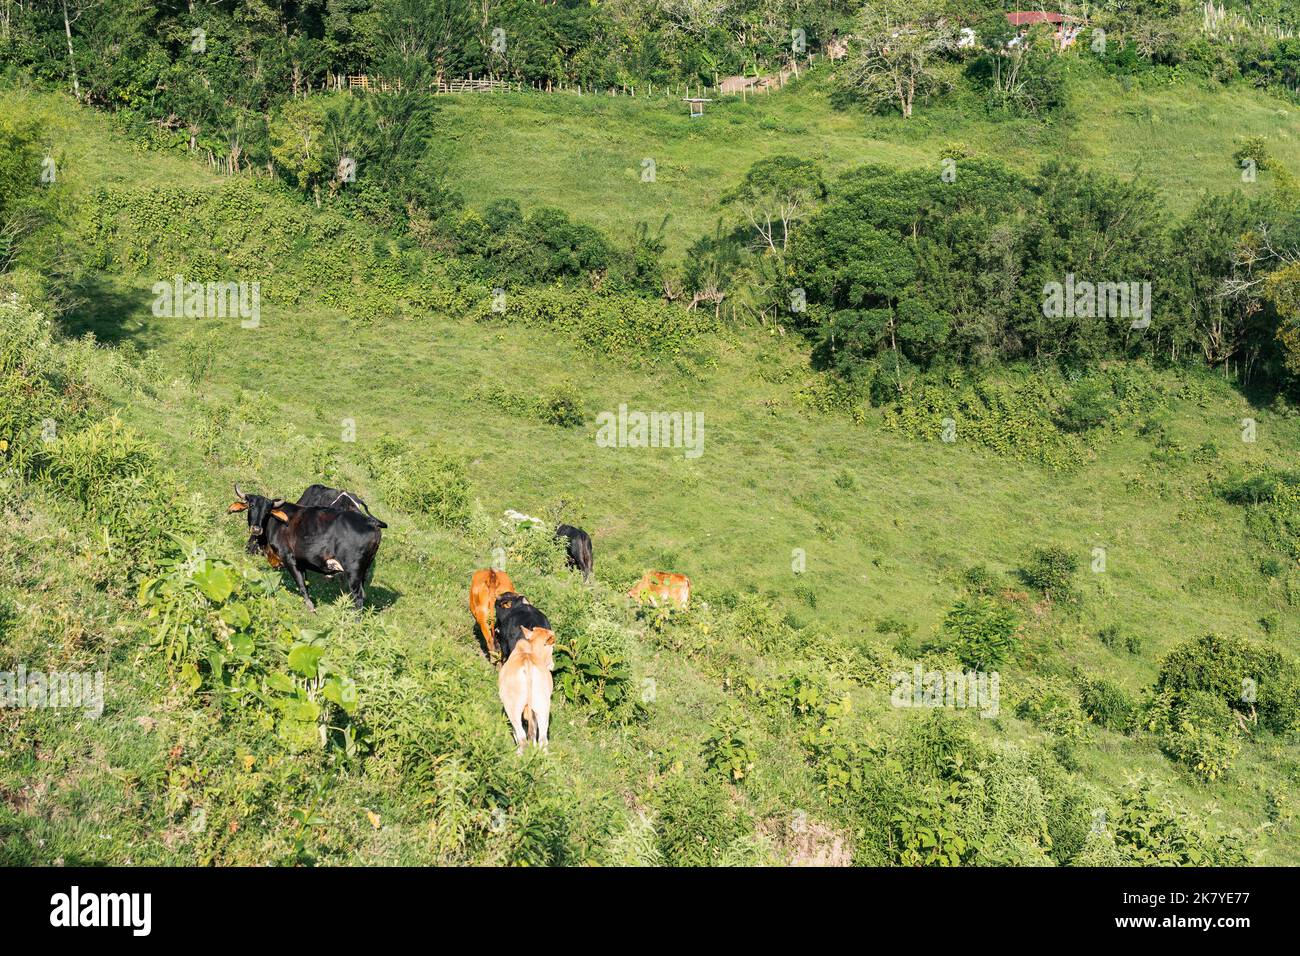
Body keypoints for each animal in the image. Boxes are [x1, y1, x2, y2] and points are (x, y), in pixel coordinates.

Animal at [227, 486, 379, 613]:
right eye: (251, 506)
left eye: (267, 511)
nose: (256, 529)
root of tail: (372, 523)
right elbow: (303, 582)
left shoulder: (289, 558)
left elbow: (301, 583)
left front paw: (310, 607)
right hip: (363, 572)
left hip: (353, 571)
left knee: (358, 597)